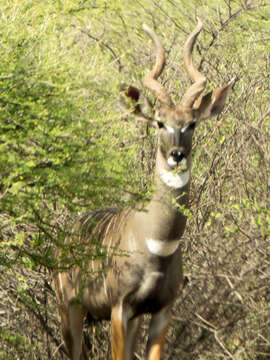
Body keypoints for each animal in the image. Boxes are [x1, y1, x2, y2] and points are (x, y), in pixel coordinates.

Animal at [52, 19, 232, 360]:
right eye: (160, 122)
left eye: (192, 123)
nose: (177, 154)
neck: (157, 244)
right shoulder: (119, 306)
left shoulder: (161, 309)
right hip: (69, 307)